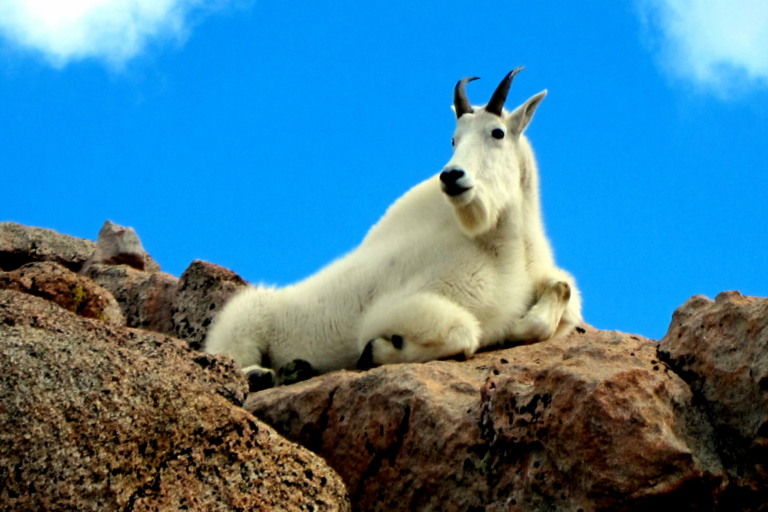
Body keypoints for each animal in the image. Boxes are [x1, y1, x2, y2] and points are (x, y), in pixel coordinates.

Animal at [204, 68, 584, 388]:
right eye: (453, 139)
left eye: (497, 132)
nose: (451, 176)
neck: (499, 246)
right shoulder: (395, 309)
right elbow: (464, 334)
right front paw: (376, 351)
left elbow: (560, 293)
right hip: (242, 322)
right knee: (229, 357)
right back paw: (263, 374)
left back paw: (292, 369)